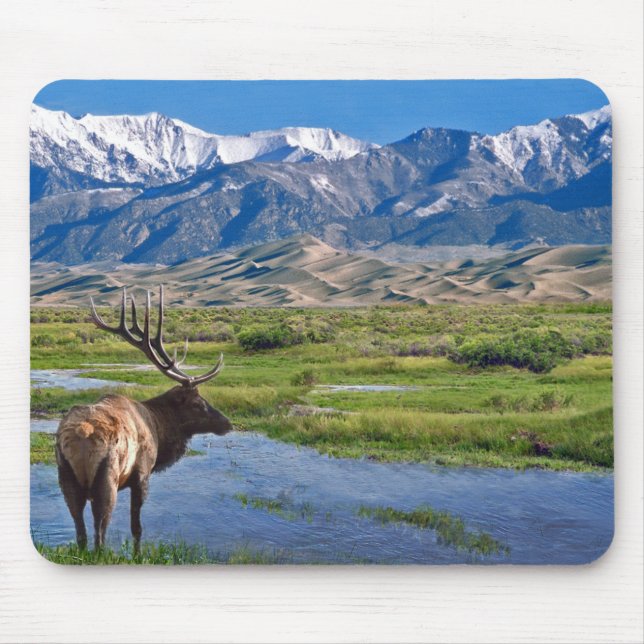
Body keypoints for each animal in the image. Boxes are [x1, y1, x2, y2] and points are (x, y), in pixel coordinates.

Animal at [55, 285, 233, 552]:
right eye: (197, 403)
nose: (227, 424)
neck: (159, 428)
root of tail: (80, 436)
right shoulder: (142, 474)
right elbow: (136, 528)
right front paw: (138, 554)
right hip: (106, 478)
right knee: (99, 534)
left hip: (65, 474)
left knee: (81, 533)